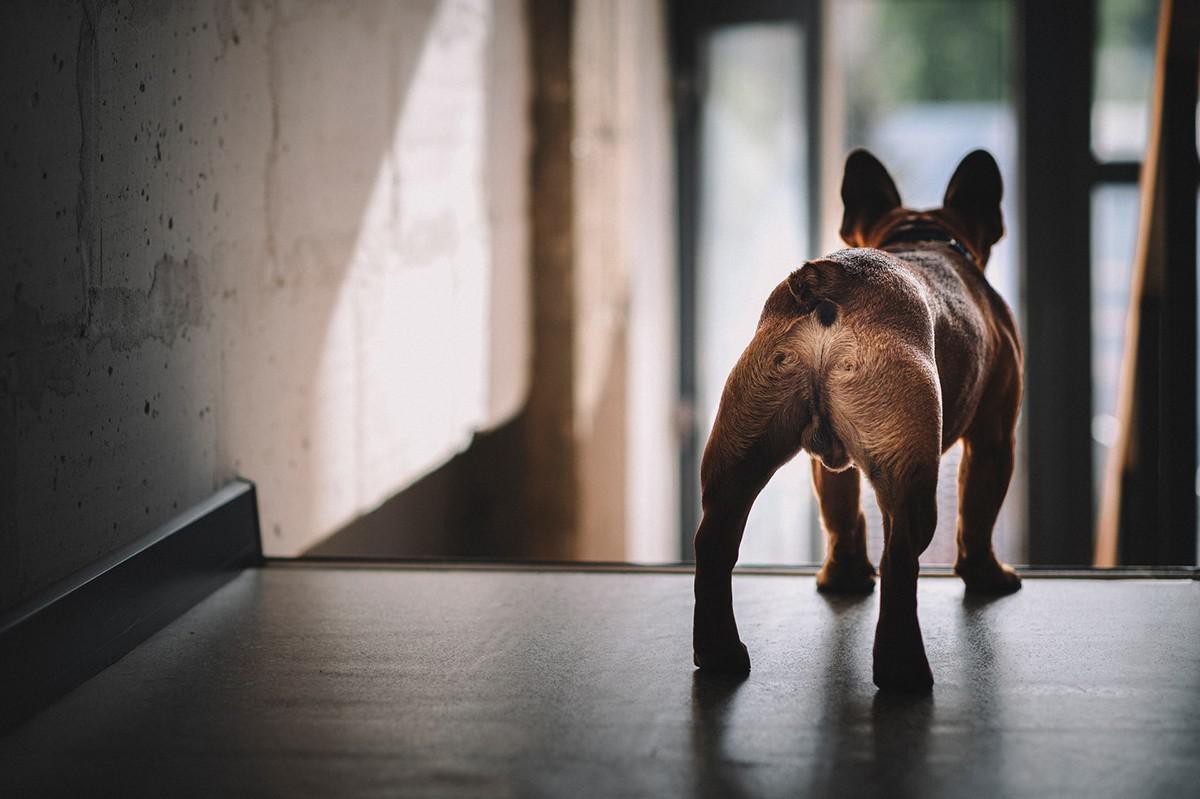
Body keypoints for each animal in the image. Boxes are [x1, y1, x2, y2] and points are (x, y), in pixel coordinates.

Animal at [696, 149, 1022, 691]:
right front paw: (987, 577)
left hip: (737, 453)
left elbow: (841, 513)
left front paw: (843, 578)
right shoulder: (994, 440)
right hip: (913, 471)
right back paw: (903, 671)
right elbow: (978, 517)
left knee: (714, 543)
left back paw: (719, 652)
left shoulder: (828, 466)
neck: (921, 236)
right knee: (901, 558)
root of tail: (832, 279)